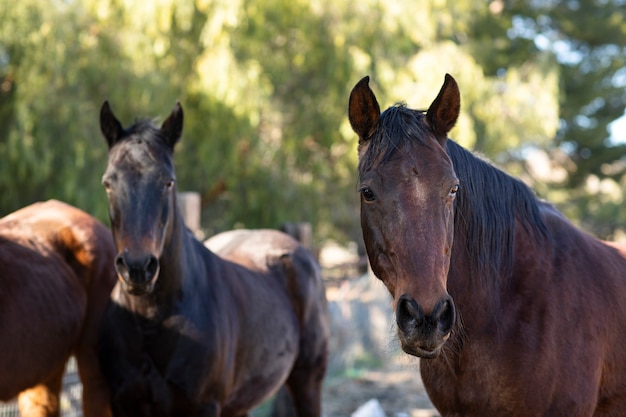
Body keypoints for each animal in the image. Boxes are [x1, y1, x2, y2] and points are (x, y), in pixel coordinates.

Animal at [97, 101, 330, 416]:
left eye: (168, 182)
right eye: (108, 183)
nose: (137, 268)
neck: (151, 320)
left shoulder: (203, 406)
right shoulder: (123, 403)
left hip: (307, 381)